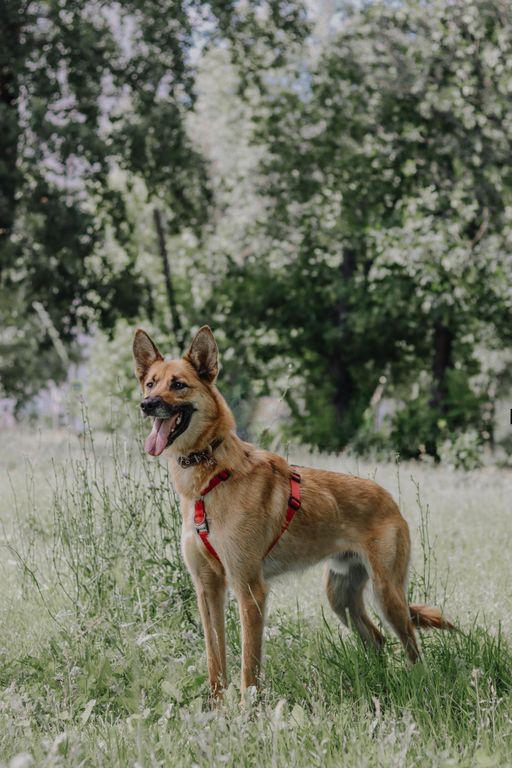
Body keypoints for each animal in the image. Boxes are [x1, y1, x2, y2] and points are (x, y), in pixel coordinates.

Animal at [133, 325, 453, 699]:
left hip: (387, 594)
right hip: (341, 598)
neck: (209, 477)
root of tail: (389, 498)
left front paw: (246, 708)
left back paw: (417, 684)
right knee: (376, 638)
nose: (146, 405)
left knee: (411, 645)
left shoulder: (249, 590)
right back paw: (376, 683)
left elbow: (248, 667)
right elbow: (215, 662)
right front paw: (216, 708)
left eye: (179, 385)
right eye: (151, 383)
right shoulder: (207, 589)